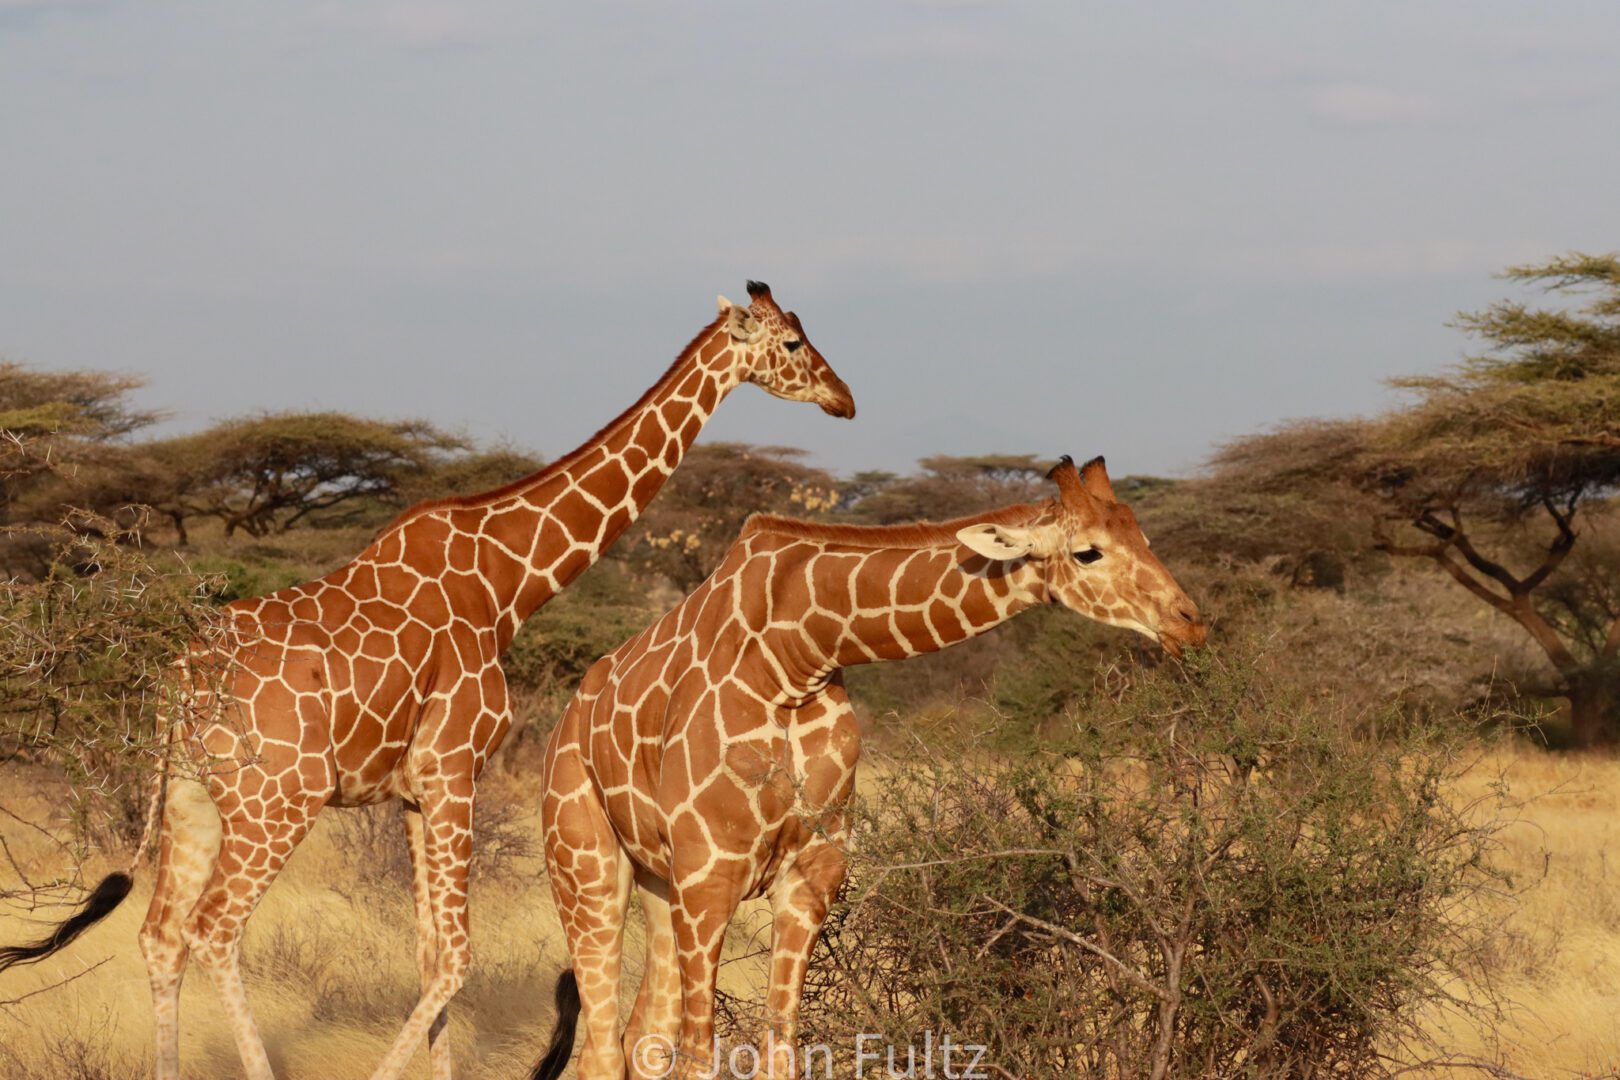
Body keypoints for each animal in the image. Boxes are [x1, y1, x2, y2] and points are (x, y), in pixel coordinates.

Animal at [0, 281, 855, 1080]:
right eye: (791, 341)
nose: (843, 399)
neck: (508, 584)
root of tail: (180, 679)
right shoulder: (454, 766)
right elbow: (457, 957)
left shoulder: (412, 789)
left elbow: (428, 955)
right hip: (277, 802)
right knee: (216, 932)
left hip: (192, 798)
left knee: (162, 935)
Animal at [531, 453, 1205, 1080]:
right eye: (1089, 552)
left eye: (1145, 537)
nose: (1190, 623)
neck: (795, 658)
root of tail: (565, 721)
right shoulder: (709, 876)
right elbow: (699, 1059)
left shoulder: (809, 877)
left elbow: (781, 1052)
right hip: (587, 867)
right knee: (605, 1047)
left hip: (656, 881)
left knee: (639, 1038)